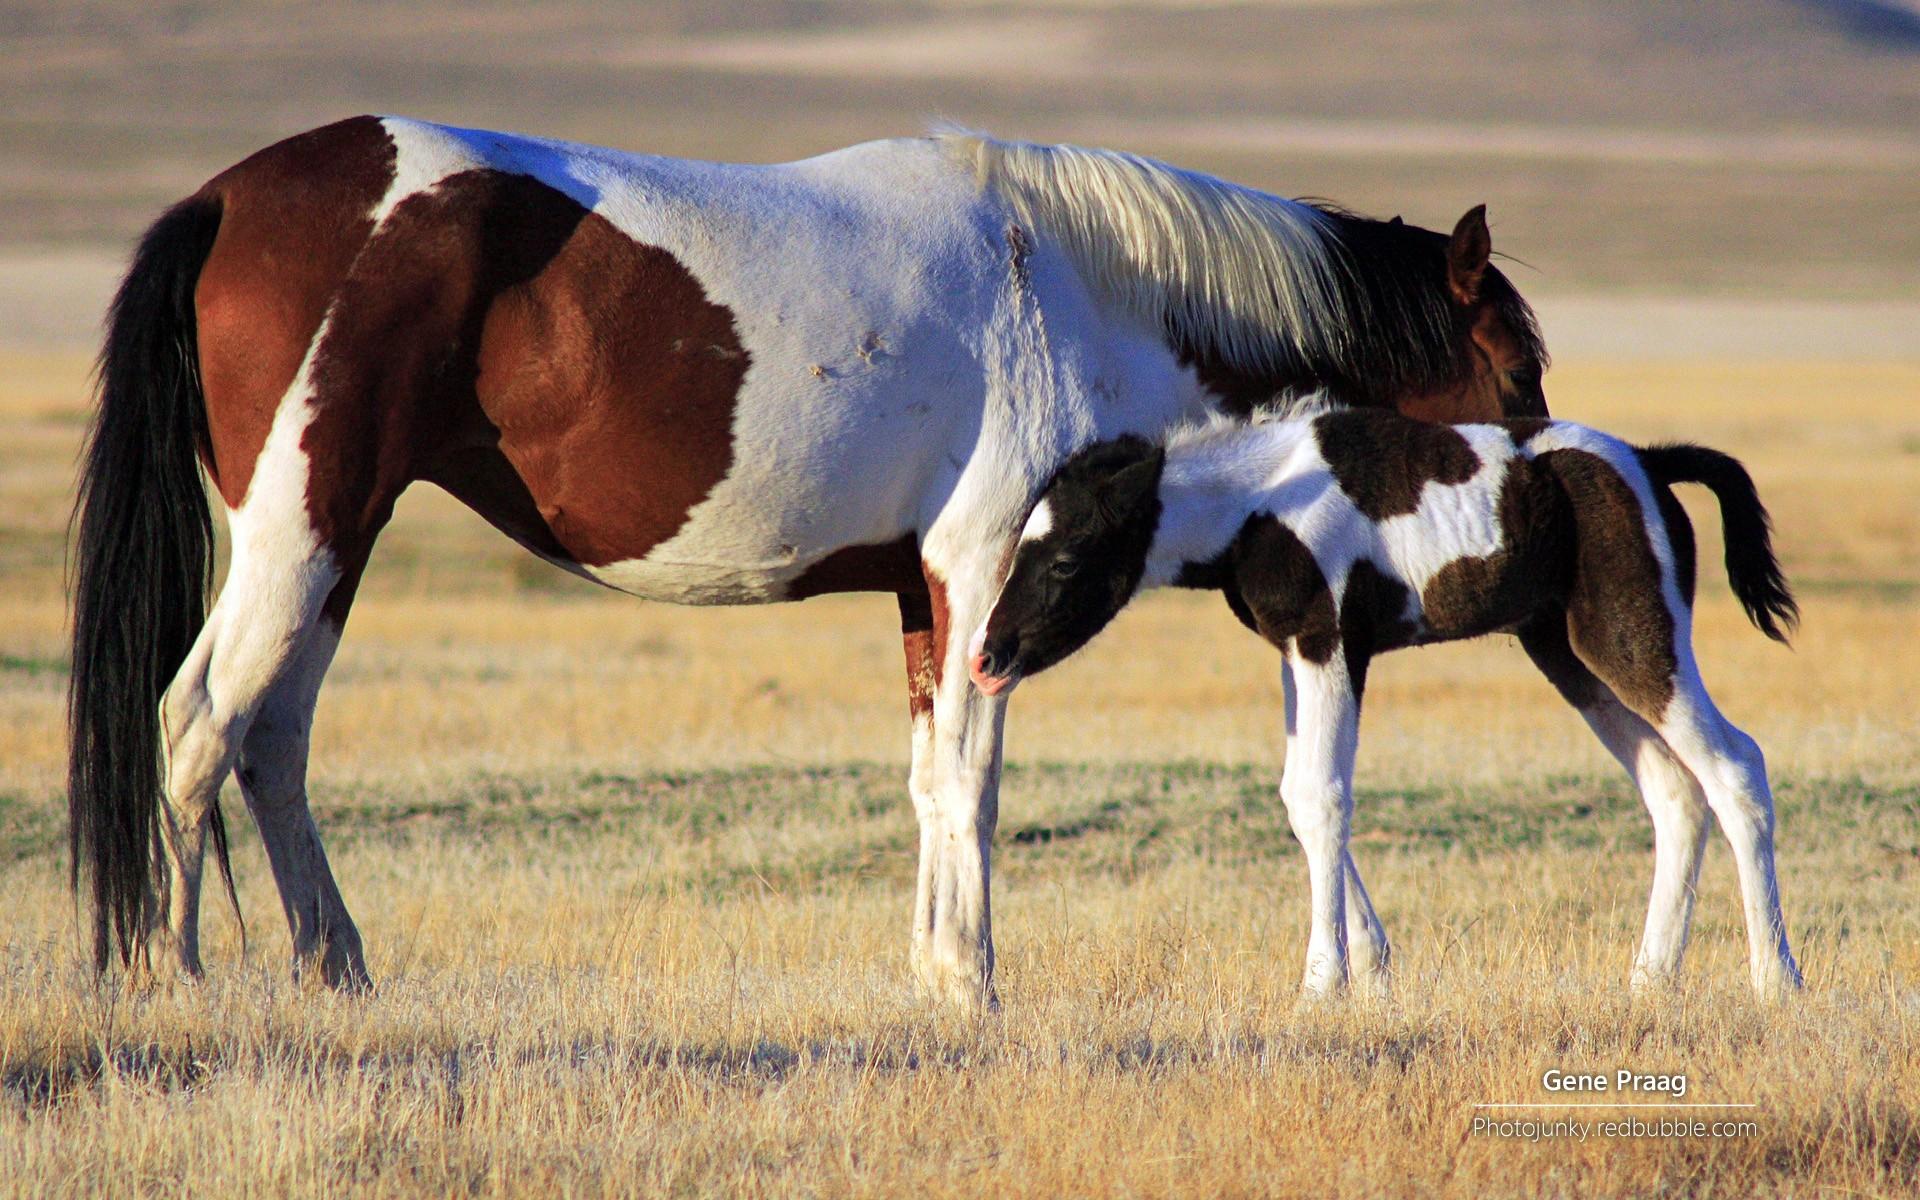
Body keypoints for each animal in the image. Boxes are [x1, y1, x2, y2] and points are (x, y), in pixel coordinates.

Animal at [67, 119, 1551, 998]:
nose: (1540, 507)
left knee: (269, 741)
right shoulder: (981, 570)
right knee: (198, 726)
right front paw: (972, 985)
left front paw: (937, 980)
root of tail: (227, 197)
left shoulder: (924, 589)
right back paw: (173, 986)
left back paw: (337, 968)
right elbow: (974, 784)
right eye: (1514, 370)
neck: (1081, 288)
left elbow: (930, 782)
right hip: (301, 531)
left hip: (341, 538)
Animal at [975, 407, 1797, 998]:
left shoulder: (1330, 642)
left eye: (1066, 561)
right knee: (1674, 792)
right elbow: (1298, 795)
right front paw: (1369, 970)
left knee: (1736, 767)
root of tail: (1651, 462)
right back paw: (1650, 980)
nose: (987, 661)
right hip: (1569, 656)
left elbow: (1322, 795)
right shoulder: (1297, 650)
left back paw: (1775, 978)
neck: (1258, 503)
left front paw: (1323, 982)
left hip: (1631, 634)